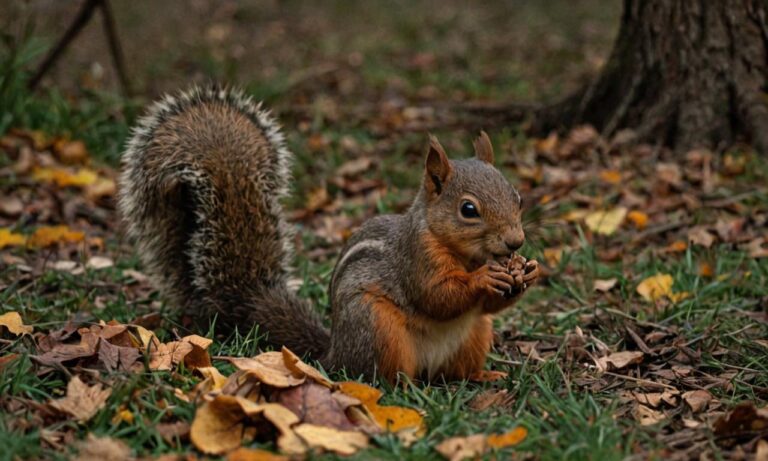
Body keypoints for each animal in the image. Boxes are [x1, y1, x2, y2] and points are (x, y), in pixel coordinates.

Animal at [120, 85, 540, 380]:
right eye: (468, 210)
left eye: (517, 197)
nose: (515, 242)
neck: (465, 254)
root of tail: (333, 353)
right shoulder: (414, 259)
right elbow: (437, 296)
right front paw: (487, 277)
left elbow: (484, 305)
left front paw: (528, 272)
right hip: (375, 327)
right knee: (381, 376)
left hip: (475, 335)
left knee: (454, 372)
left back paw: (485, 376)